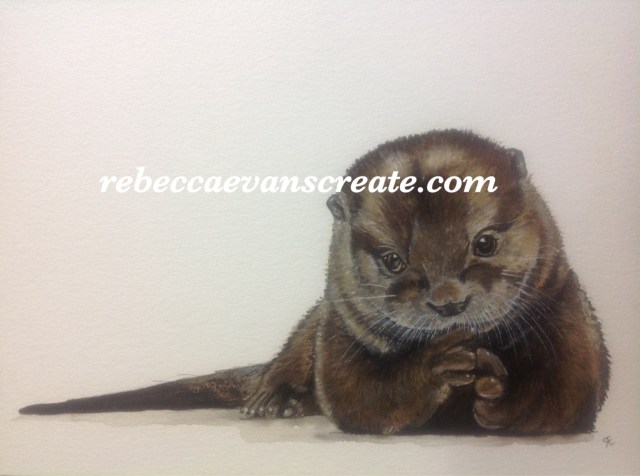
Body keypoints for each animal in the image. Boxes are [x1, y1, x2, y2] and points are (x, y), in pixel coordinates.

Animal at [20, 130, 609, 435]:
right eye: (393, 260)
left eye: (484, 243)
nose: (448, 303)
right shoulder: (340, 330)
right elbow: (360, 399)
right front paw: (440, 364)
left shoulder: (568, 313)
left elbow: (569, 397)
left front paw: (497, 393)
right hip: (317, 321)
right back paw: (273, 397)